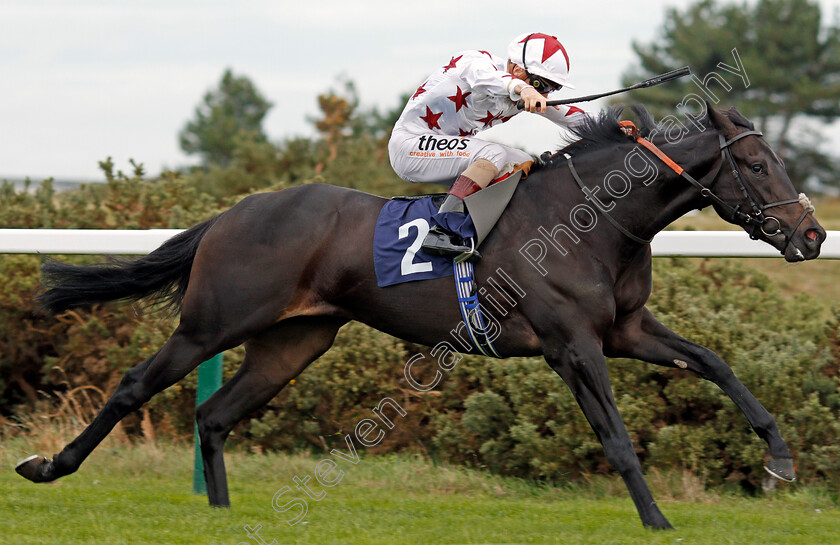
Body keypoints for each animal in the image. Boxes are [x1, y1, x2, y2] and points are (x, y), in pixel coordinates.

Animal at [16, 103, 824, 528]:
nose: (813, 235)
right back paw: (49, 464)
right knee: (135, 385)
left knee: (214, 416)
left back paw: (219, 514)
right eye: (757, 166)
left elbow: (717, 363)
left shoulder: (624, 330)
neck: (597, 217)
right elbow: (618, 438)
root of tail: (231, 213)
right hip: (212, 323)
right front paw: (656, 520)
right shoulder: (572, 344)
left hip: (293, 340)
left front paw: (778, 460)